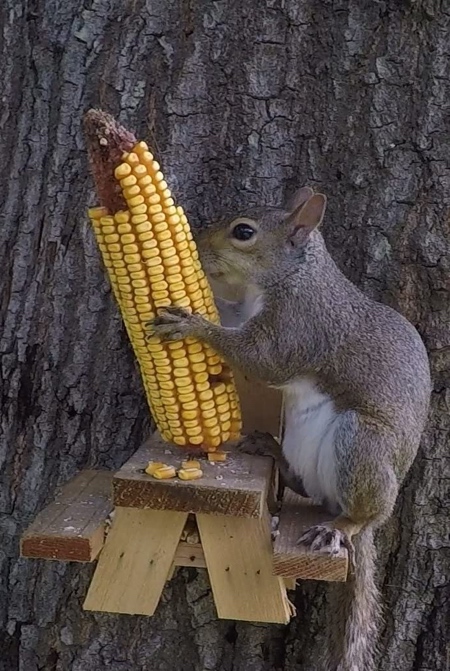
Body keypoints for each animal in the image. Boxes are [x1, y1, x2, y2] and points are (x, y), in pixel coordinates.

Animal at [147, 186, 428, 671]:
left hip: (363, 443)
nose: (198, 245)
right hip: (304, 442)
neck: (292, 278)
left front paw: (193, 324)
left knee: (362, 513)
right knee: (305, 485)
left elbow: (260, 360)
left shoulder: (299, 327)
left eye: (244, 232)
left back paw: (343, 526)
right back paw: (270, 450)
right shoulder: (248, 309)